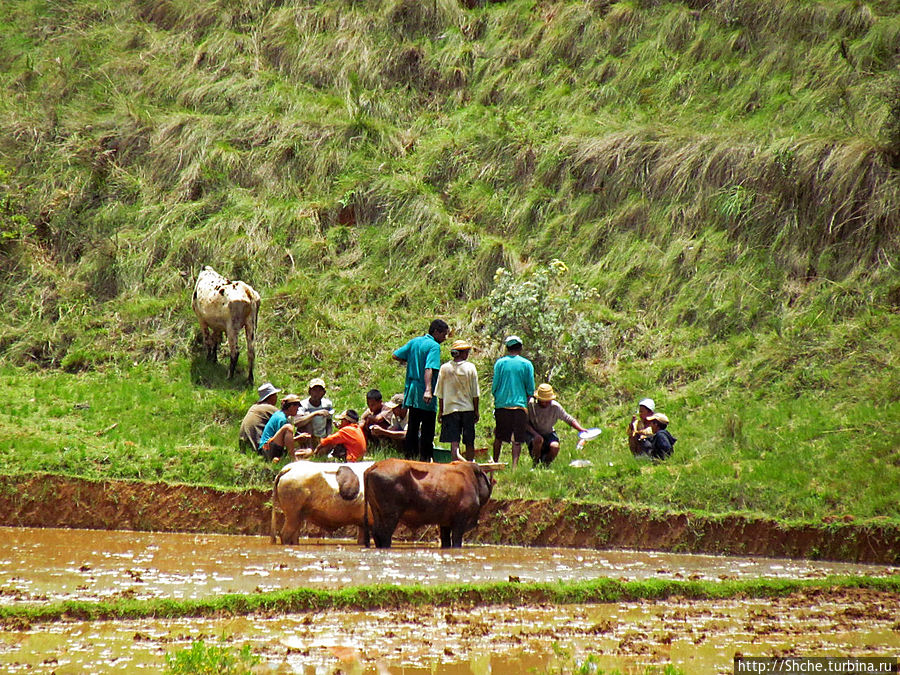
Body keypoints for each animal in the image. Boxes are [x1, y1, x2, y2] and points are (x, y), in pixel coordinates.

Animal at [364, 460, 496, 548]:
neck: (472, 478)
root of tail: (375, 466)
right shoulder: (460, 521)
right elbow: (456, 542)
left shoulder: (445, 522)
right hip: (391, 515)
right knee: (384, 534)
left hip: (376, 511)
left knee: (376, 532)